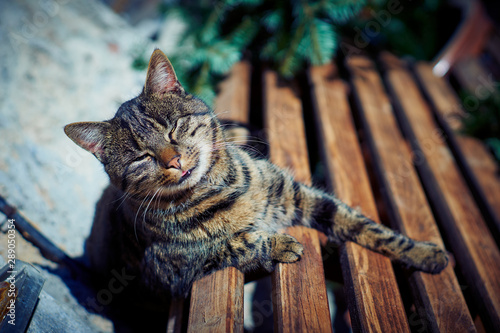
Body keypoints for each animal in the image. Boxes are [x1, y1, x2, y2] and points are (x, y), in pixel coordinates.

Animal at [63, 48, 450, 298]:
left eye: (173, 128)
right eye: (141, 158)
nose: (173, 161)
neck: (221, 186)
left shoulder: (298, 194)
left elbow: (364, 225)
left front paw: (424, 253)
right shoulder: (169, 268)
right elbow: (232, 243)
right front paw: (278, 242)